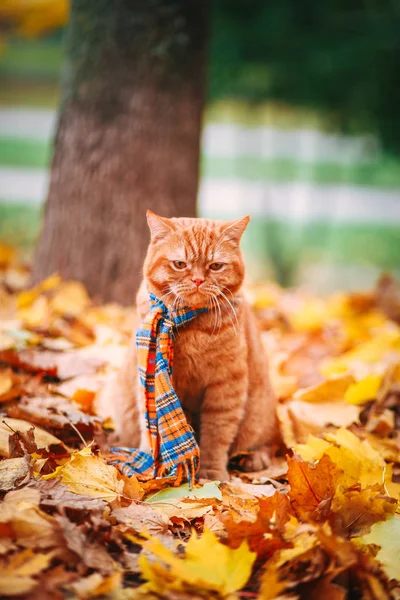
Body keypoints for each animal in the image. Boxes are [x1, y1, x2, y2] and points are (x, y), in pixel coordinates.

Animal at [98, 211, 276, 478]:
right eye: (180, 264)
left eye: (215, 266)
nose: (198, 280)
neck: (191, 325)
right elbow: (151, 428)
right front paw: (149, 467)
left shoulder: (226, 384)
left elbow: (217, 434)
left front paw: (211, 473)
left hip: (259, 413)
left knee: (267, 441)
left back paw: (254, 458)